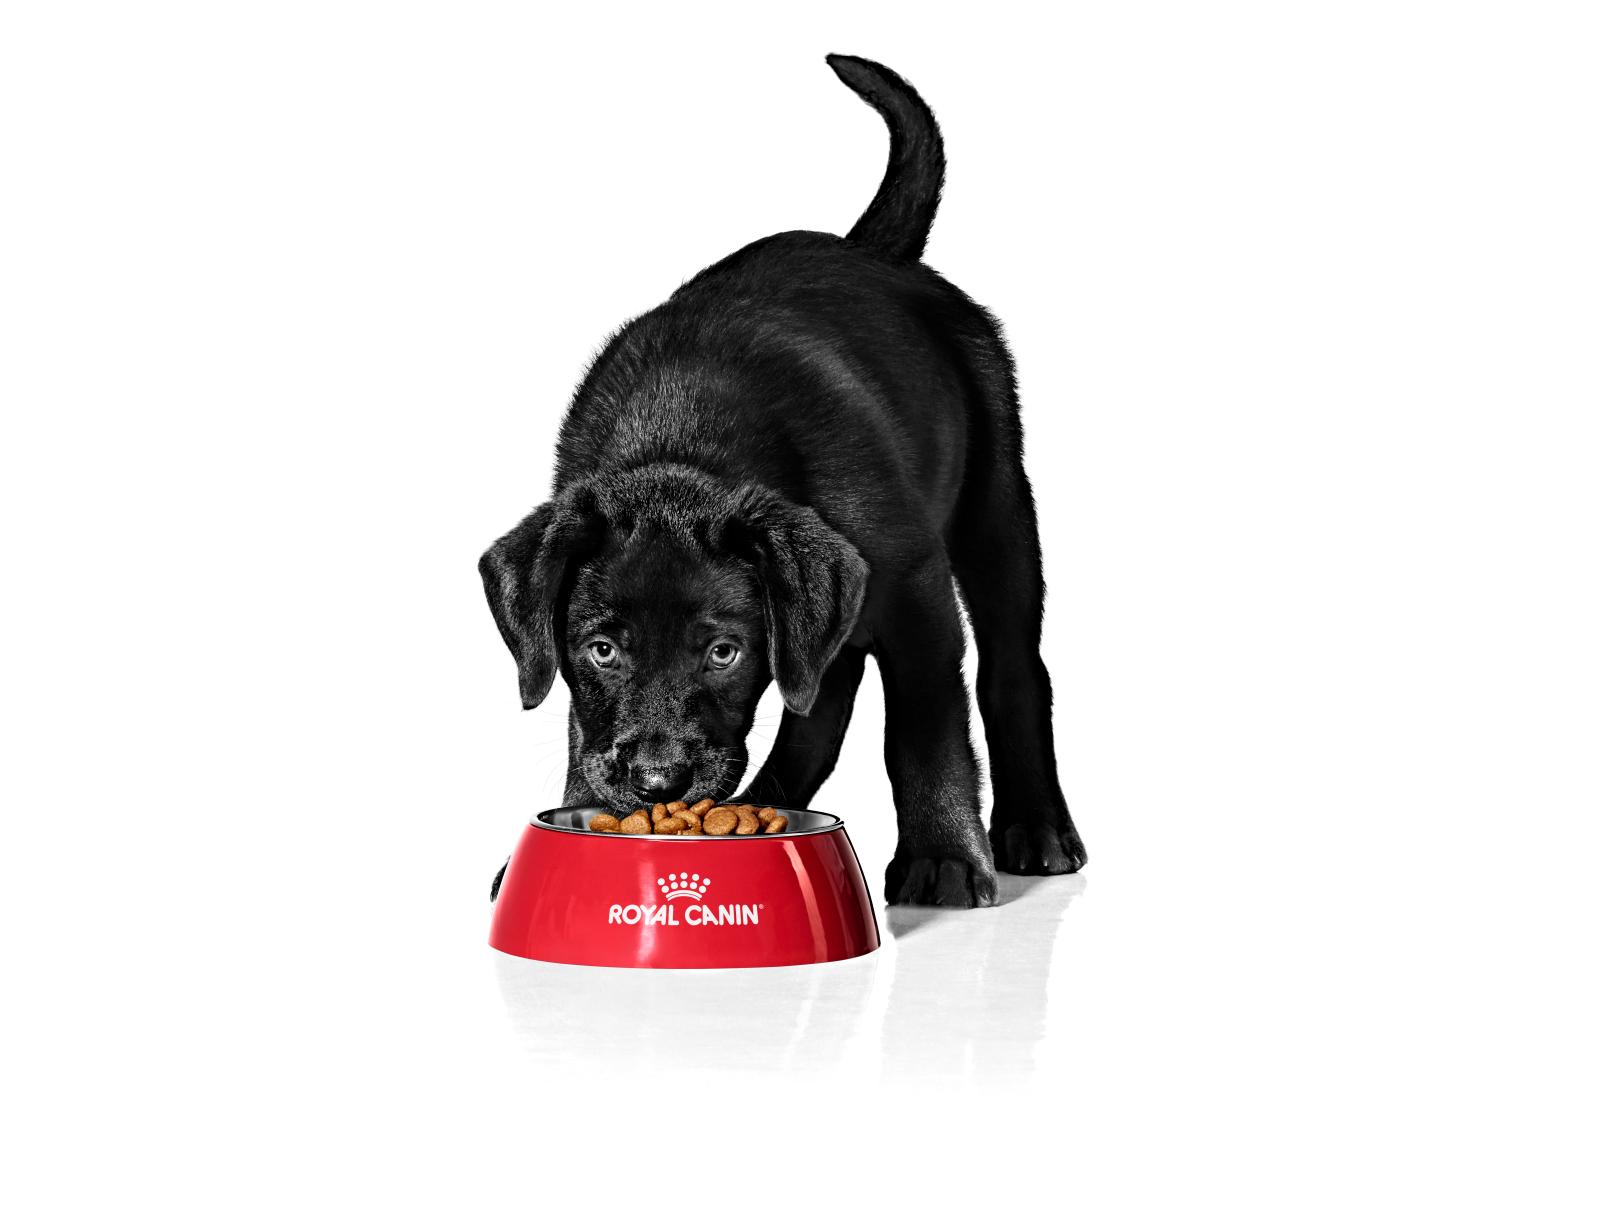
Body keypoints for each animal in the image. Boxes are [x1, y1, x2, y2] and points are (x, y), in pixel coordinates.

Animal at [480, 52, 1090, 908]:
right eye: (600, 649)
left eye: (723, 652)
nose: (659, 782)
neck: (686, 440)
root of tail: (872, 252)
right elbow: (581, 723)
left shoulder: (916, 589)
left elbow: (924, 728)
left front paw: (941, 856)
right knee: (822, 692)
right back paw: (766, 797)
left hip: (995, 501)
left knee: (1012, 667)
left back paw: (1035, 827)